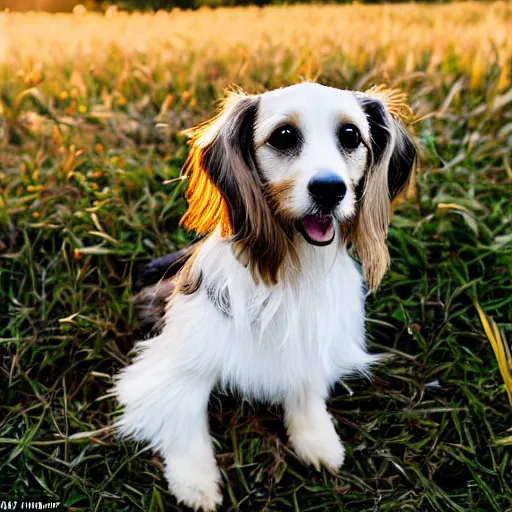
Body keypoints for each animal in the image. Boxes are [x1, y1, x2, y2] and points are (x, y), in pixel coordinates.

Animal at [114, 82, 418, 510]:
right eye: (284, 136)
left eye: (351, 135)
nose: (330, 189)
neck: (295, 268)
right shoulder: (176, 363)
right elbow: (183, 418)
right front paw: (196, 481)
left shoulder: (311, 339)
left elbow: (305, 389)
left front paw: (315, 437)